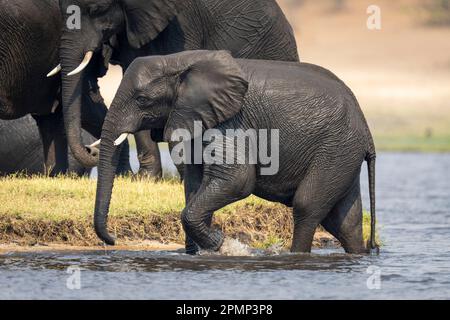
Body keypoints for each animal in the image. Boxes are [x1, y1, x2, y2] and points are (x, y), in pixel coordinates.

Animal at [95, 50, 380, 255]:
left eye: (142, 100)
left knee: (306, 206)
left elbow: (237, 180)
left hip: (336, 147)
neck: (177, 59)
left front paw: (223, 245)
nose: (113, 239)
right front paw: (198, 253)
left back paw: (297, 256)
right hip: (343, 153)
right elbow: (194, 185)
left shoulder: (231, 121)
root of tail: (367, 129)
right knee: (345, 221)